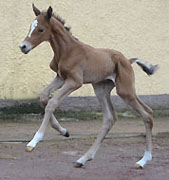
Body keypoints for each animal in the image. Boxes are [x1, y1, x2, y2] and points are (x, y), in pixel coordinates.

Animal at [19, 4, 158, 169]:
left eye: (40, 29)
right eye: (30, 26)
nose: (23, 46)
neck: (67, 50)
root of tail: (128, 61)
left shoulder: (74, 81)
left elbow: (52, 102)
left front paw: (34, 141)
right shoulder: (61, 78)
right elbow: (43, 96)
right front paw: (63, 131)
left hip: (125, 91)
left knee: (146, 115)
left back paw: (143, 160)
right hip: (102, 89)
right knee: (111, 118)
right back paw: (83, 159)